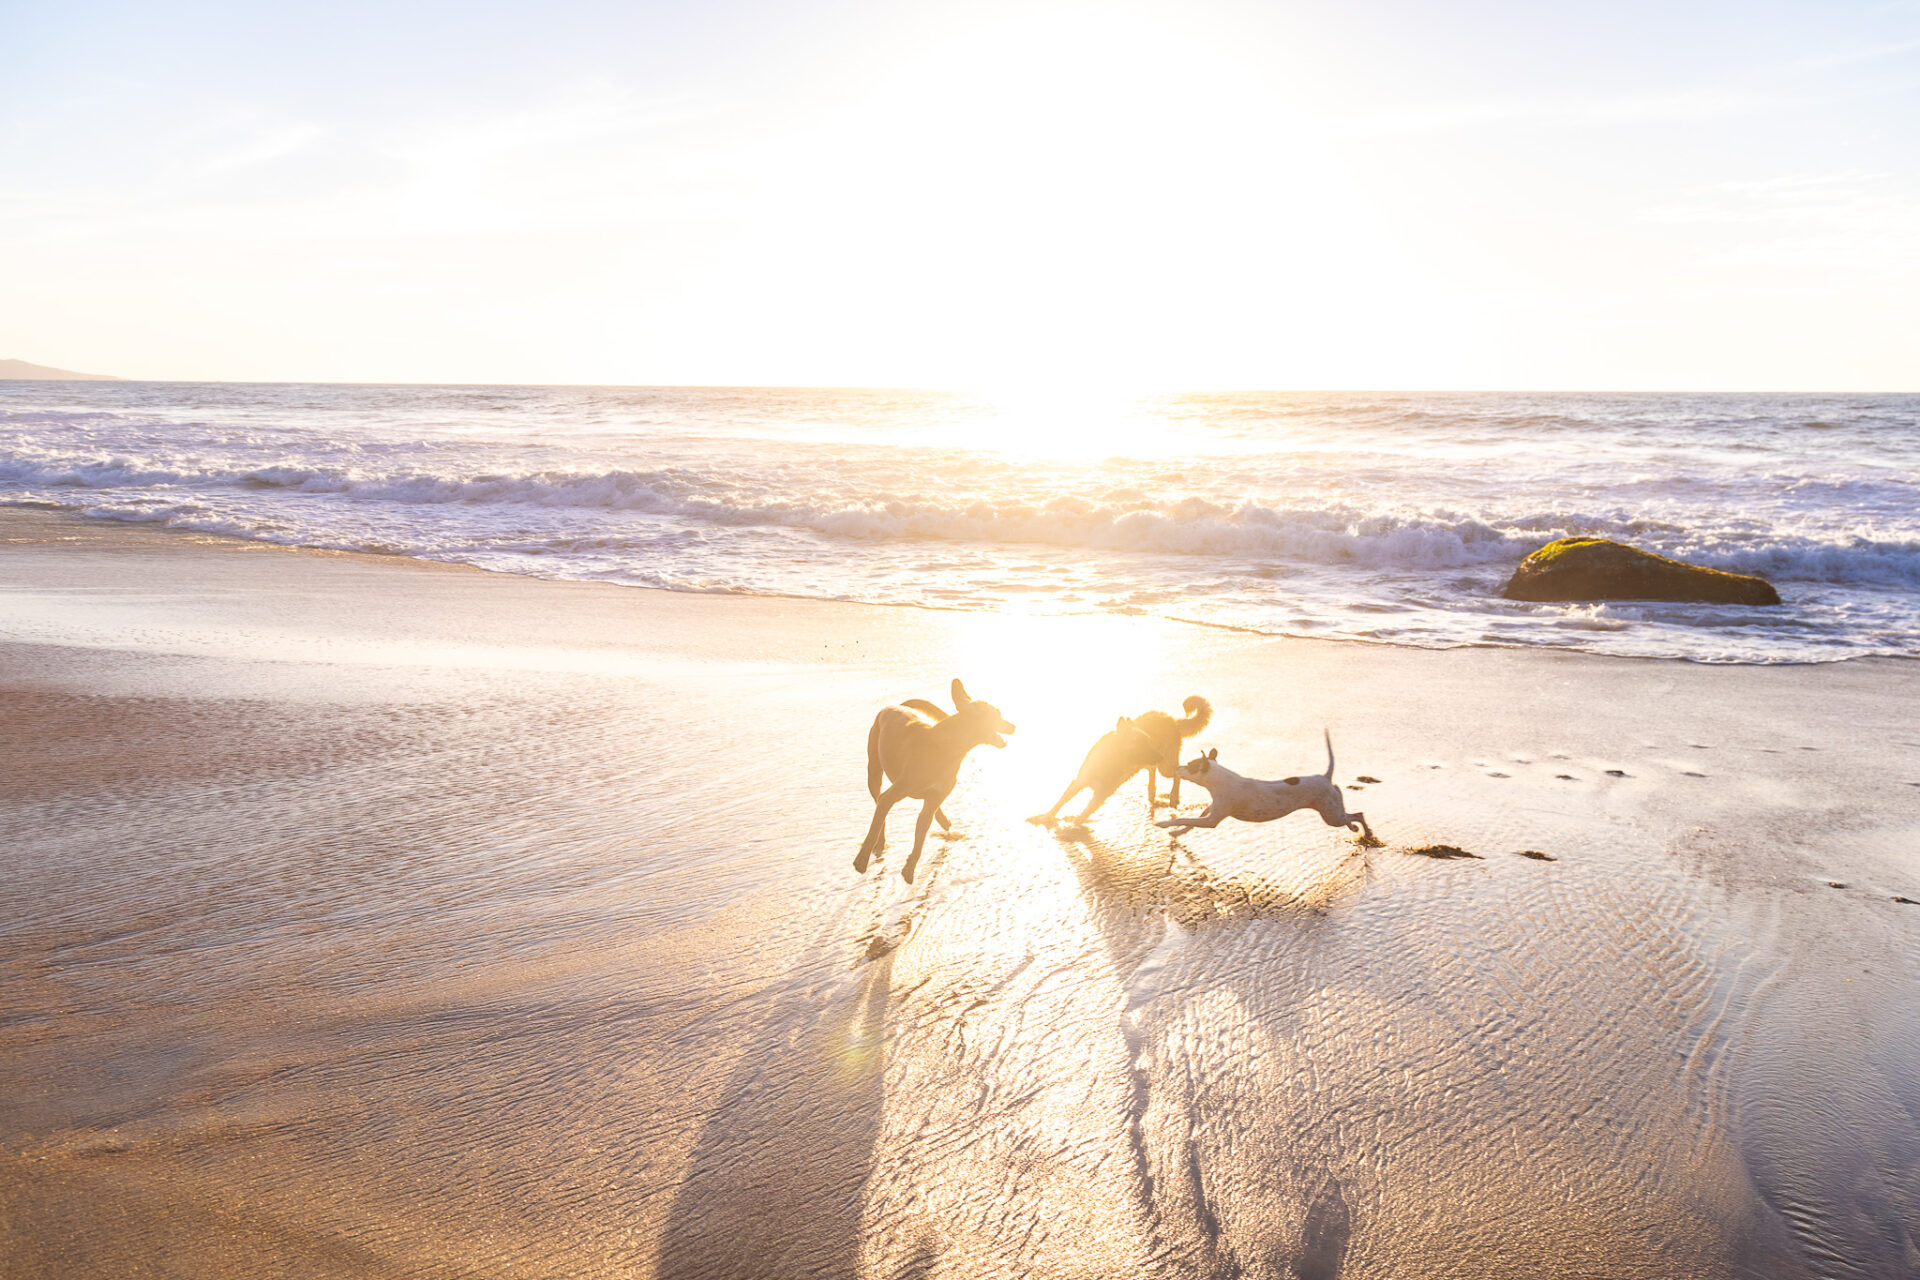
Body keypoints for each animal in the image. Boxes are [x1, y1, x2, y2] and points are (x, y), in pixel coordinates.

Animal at [856, 679, 1013, 882]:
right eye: (997, 715)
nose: (1013, 726)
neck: (946, 748)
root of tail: (893, 706)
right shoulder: (892, 795)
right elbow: (876, 824)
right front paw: (862, 860)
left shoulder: (933, 800)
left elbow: (921, 837)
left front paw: (910, 867)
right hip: (874, 772)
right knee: (878, 805)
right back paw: (880, 842)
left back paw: (942, 820)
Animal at [1159, 725, 1374, 844]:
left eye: (1190, 765)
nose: (1176, 768)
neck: (1220, 780)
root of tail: (1325, 777)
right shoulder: (1212, 810)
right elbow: (1194, 820)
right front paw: (1177, 832)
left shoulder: (1212, 821)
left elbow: (1187, 819)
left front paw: (1164, 823)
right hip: (1332, 810)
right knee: (1351, 815)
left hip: (1331, 815)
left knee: (1357, 815)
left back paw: (1363, 832)